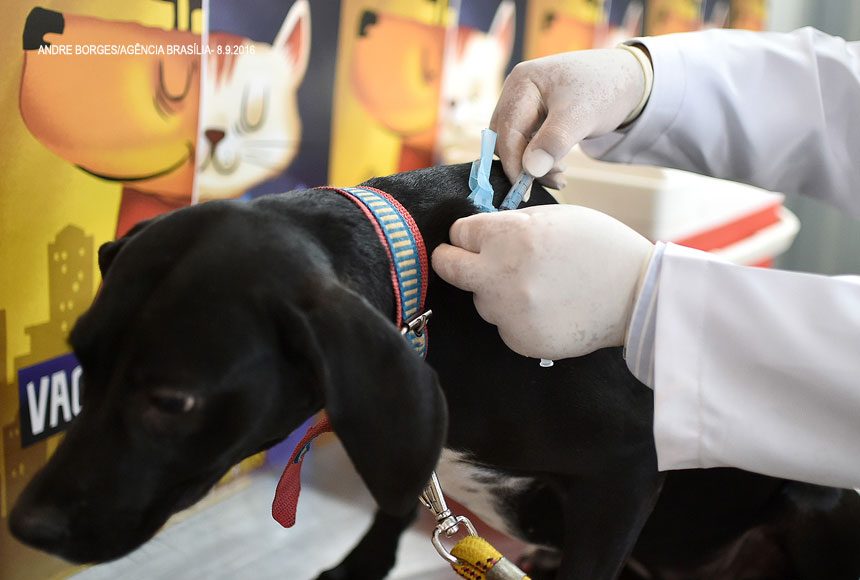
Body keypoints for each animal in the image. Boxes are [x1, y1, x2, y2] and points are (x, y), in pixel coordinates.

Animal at [10, 162, 860, 579]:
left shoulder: (627, 474)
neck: (436, 310)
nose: (25, 527)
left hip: (817, 507)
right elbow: (401, 492)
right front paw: (360, 564)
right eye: (80, 364)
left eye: (173, 400)